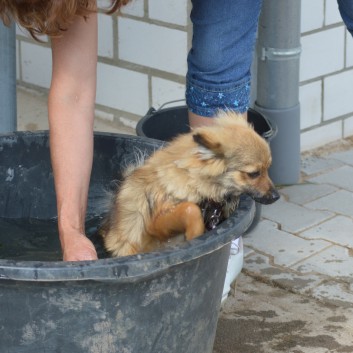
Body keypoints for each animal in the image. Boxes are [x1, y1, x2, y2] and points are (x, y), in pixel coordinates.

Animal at [100, 111, 280, 258]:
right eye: (254, 174)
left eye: (268, 169)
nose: (276, 196)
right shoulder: (155, 224)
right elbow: (190, 209)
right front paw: (196, 236)